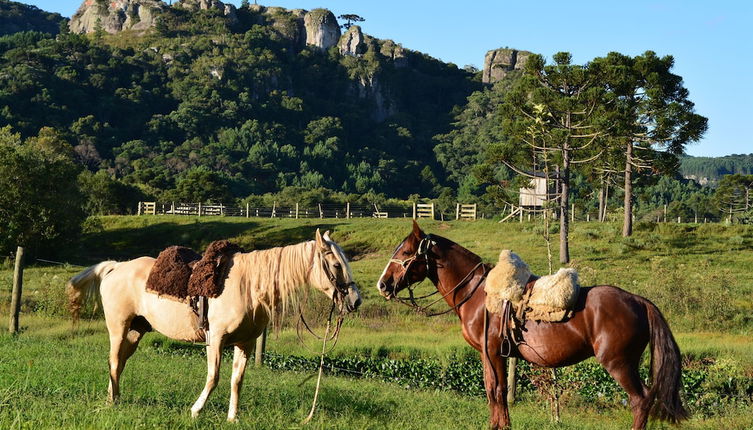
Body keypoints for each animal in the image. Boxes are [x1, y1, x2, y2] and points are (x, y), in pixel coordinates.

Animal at [66, 230, 360, 422]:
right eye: (336, 264)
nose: (355, 300)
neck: (248, 286)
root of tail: (115, 267)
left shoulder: (246, 343)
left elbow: (237, 380)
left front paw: (233, 417)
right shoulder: (215, 339)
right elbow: (214, 377)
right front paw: (196, 410)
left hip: (137, 329)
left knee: (120, 362)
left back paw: (112, 397)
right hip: (118, 326)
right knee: (114, 361)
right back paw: (113, 402)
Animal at [376, 222, 688, 430]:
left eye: (406, 251)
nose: (383, 284)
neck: (478, 294)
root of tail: (639, 301)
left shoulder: (492, 351)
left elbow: (496, 390)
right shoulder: (492, 354)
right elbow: (495, 389)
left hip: (619, 364)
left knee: (640, 400)